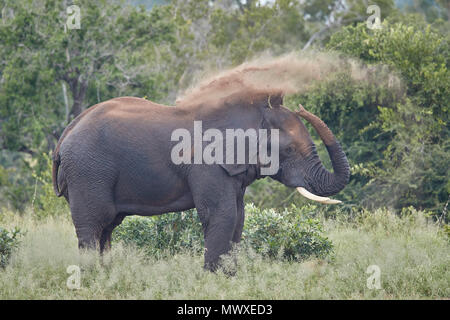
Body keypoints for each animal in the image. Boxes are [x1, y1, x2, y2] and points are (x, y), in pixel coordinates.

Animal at [53, 87, 352, 270]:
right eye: (288, 150)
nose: (302, 107)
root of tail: (64, 137)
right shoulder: (208, 165)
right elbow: (223, 215)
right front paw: (214, 280)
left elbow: (238, 218)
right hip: (88, 172)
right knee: (94, 224)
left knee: (107, 227)